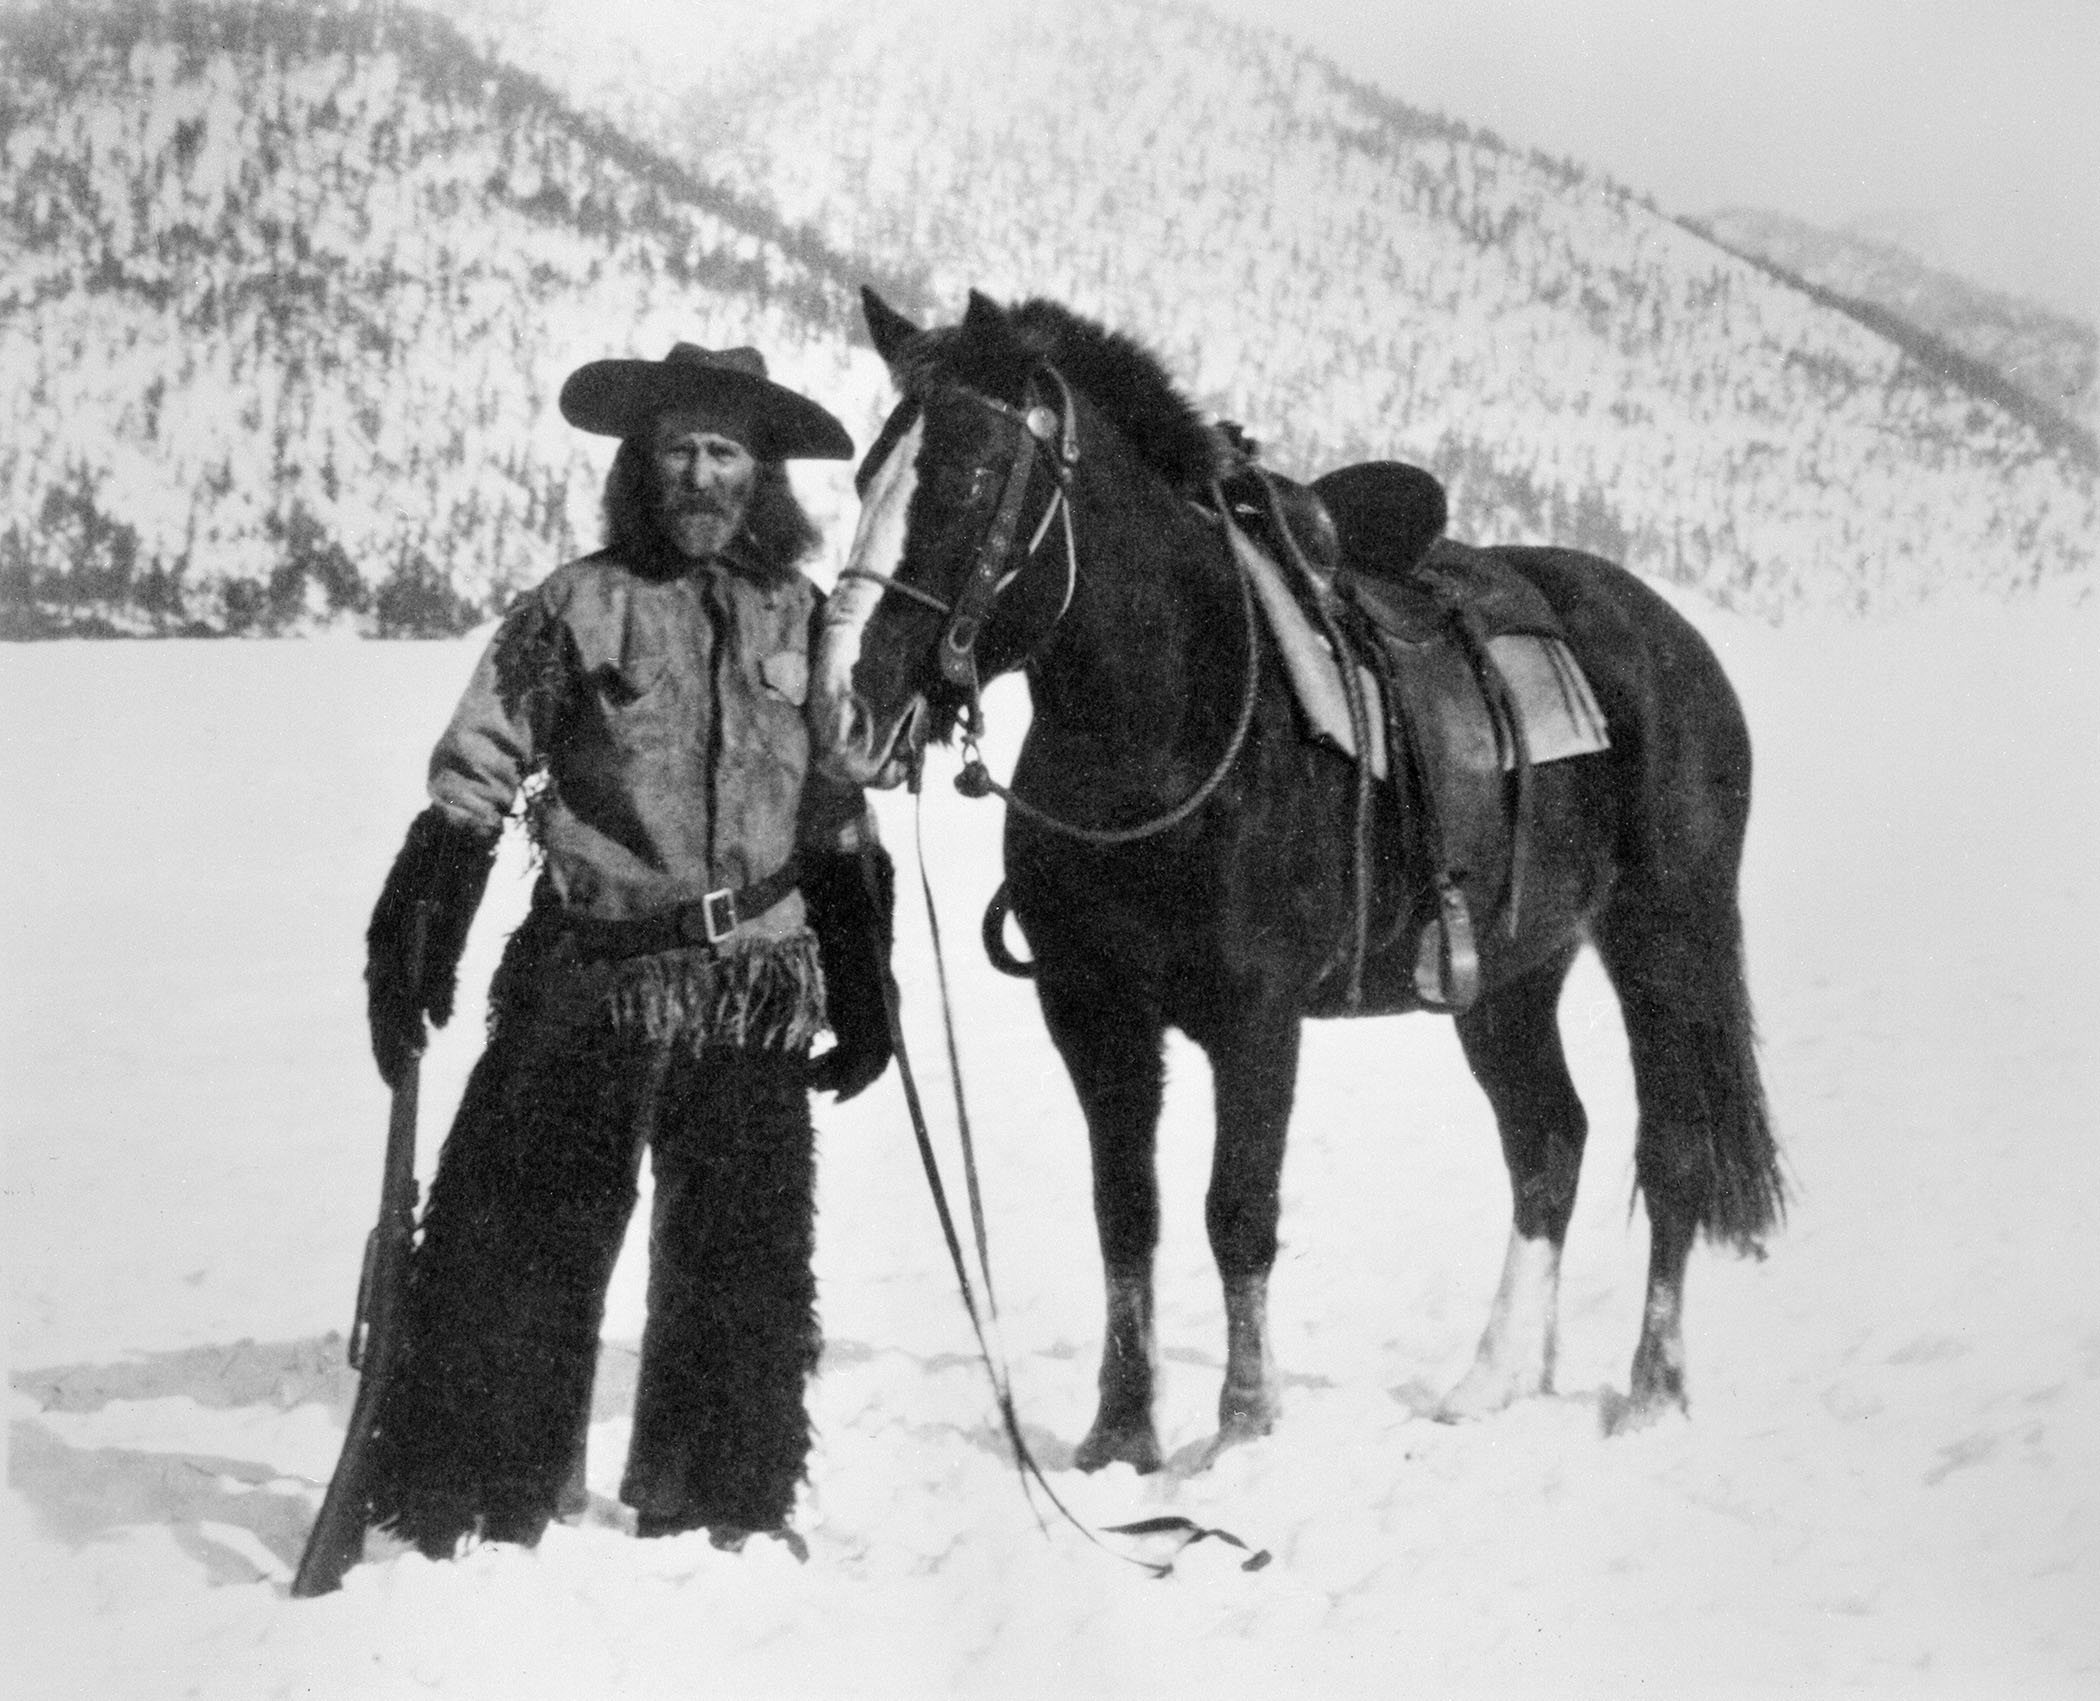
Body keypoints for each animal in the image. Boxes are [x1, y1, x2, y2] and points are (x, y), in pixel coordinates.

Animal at [810, 285, 1780, 1461]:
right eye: (866, 475)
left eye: (970, 479)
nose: (844, 702)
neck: (1165, 719)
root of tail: (1675, 640)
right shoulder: (1095, 1012)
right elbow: (1125, 1213)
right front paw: (1119, 1438)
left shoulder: (1258, 1016)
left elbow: (1238, 1212)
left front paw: (1243, 1427)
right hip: (1509, 979)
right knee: (1549, 1141)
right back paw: (1489, 1384)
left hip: (1665, 940)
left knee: (1671, 1150)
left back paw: (1648, 1393)